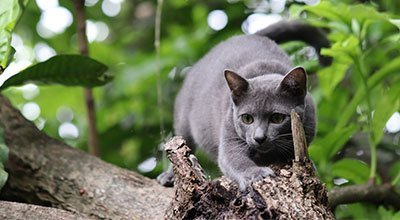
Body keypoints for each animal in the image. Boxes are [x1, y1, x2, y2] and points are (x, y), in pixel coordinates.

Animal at [158, 21, 330, 189]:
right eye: (247, 118)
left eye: (277, 118)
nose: (259, 137)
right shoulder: (229, 136)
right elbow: (235, 159)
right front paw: (257, 174)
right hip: (183, 119)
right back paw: (168, 176)